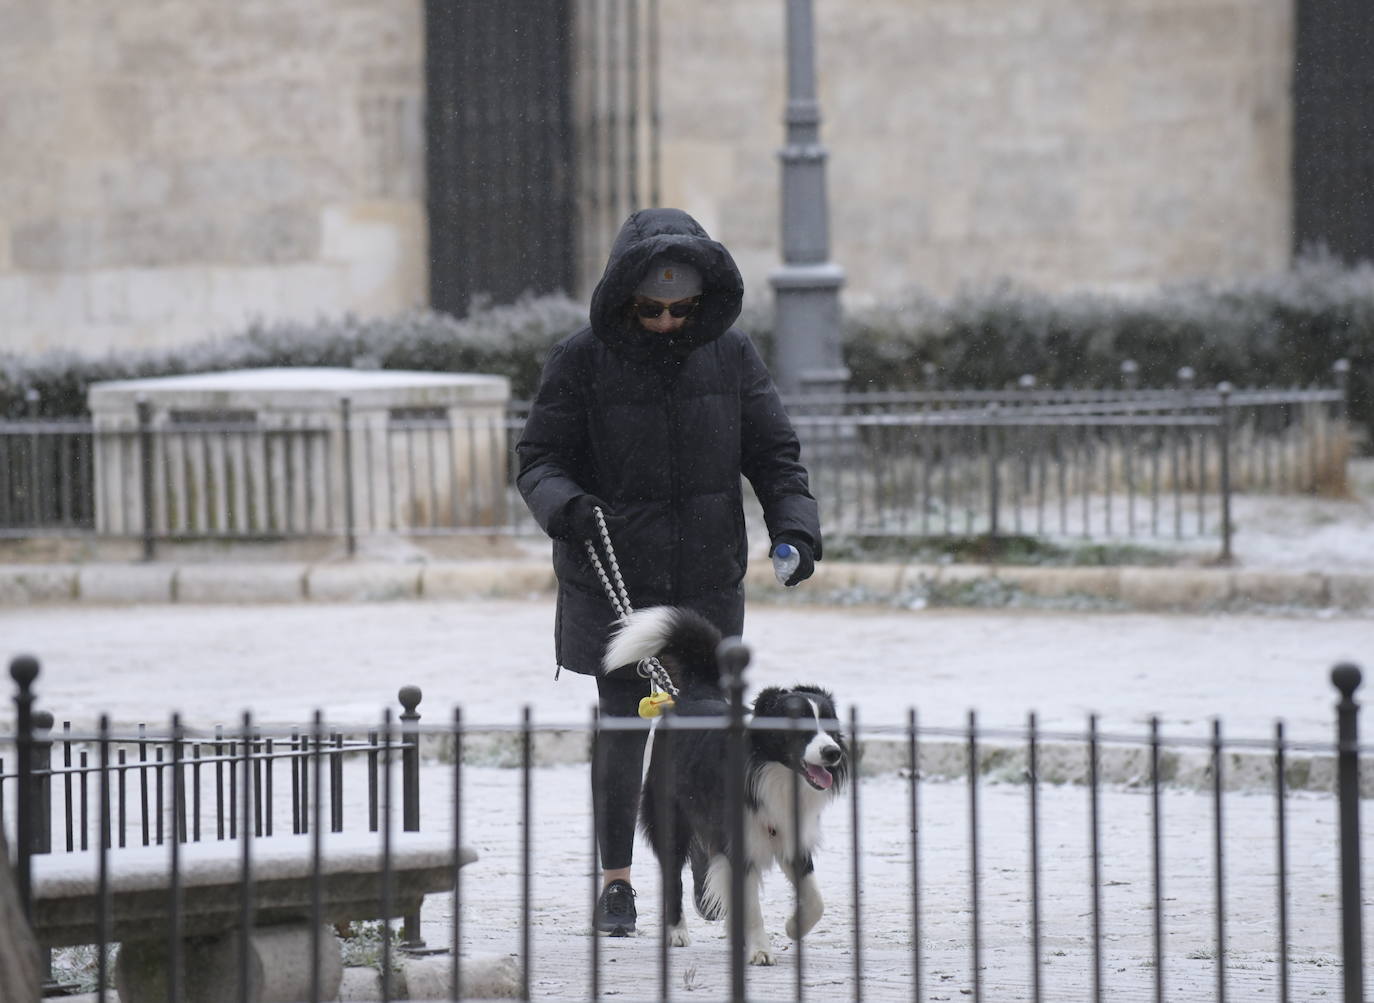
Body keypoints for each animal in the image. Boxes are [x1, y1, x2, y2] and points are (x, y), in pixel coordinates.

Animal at [604, 601, 846, 961]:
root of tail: (694, 696)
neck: (772, 770)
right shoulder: (739, 837)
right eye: (800, 726)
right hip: (670, 813)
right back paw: (676, 932)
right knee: (673, 876)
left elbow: (815, 897)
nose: (832, 753)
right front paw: (760, 951)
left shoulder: (789, 830)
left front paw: (793, 927)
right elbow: (752, 904)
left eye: (829, 727)